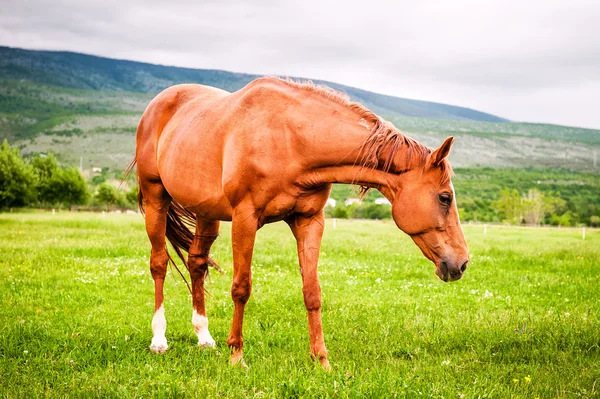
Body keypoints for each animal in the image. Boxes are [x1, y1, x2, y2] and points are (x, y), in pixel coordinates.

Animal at [130, 76, 468, 370]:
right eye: (445, 197)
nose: (462, 263)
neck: (292, 138)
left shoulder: (309, 220)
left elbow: (312, 291)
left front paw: (321, 360)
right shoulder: (245, 218)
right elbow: (241, 287)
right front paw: (237, 355)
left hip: (206, 213)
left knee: (197, 263)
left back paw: (204, 336)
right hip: (156, 198)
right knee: (159, 263)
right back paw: (159, 339)